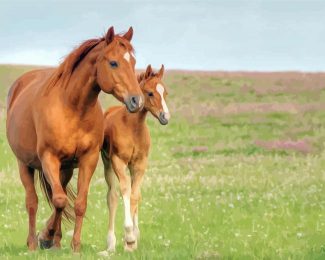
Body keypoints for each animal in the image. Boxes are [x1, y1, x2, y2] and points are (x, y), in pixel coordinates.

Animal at [5, 26, 143, 252]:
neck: (73, 107)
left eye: (133, 62)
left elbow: (77, 204)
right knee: (32, 201)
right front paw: (45, 236)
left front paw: (74, 245)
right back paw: (33, 242)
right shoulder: (49, 158)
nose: (136, 100)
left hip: (65, 169)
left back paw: (56, 241)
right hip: (24, 164)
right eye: (114, 62)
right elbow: (59, 200)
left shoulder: (88, 159)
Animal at [100, 65, 170, 252]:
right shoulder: (118, 161)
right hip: (107, 164)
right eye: (150, 93)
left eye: (165, 92)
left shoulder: (140, 164)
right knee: (112, 196)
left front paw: (131, 240)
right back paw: (110, 244)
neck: (132, 127)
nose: (165, 117)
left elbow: (135, 195)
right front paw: (129, 235)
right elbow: (125, 191)